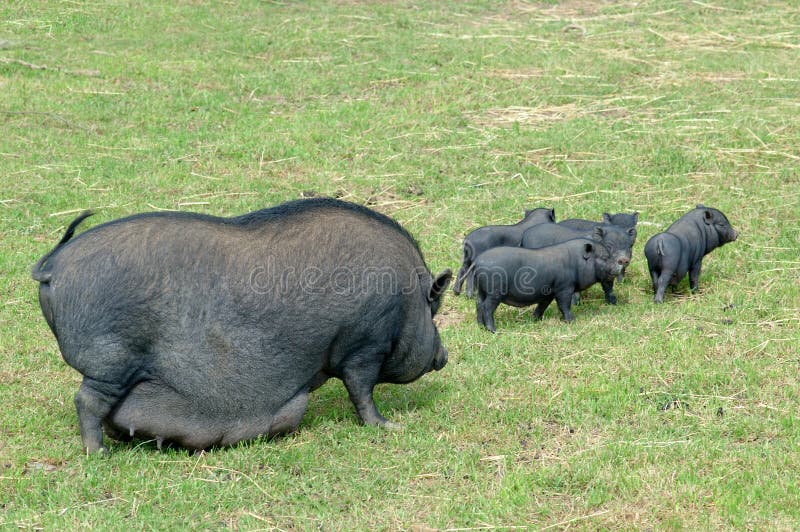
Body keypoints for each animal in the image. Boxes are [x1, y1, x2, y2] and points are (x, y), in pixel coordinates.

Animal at [32, 198, 452, 454]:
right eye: (434, 312)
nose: (445, 355)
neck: (405, 298)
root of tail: (53, 267)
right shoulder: (364, 345)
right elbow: (361, 391)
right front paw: (388, 427)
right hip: (110, 359)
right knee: (86, 401)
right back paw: (98, 454)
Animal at [468, 237, 622, 332]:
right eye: (604, 257)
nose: (620, 264)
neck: (577, 262)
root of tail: (477, 261)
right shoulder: (564, 287)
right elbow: (564, 305)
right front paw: (572, 320)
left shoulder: (548, 293)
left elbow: (542, 306)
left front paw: (534, 319)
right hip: (495, 291)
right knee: (486, 307)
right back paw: (493, 330)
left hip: (481, 290)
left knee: (478, 304)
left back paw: (480, 327)